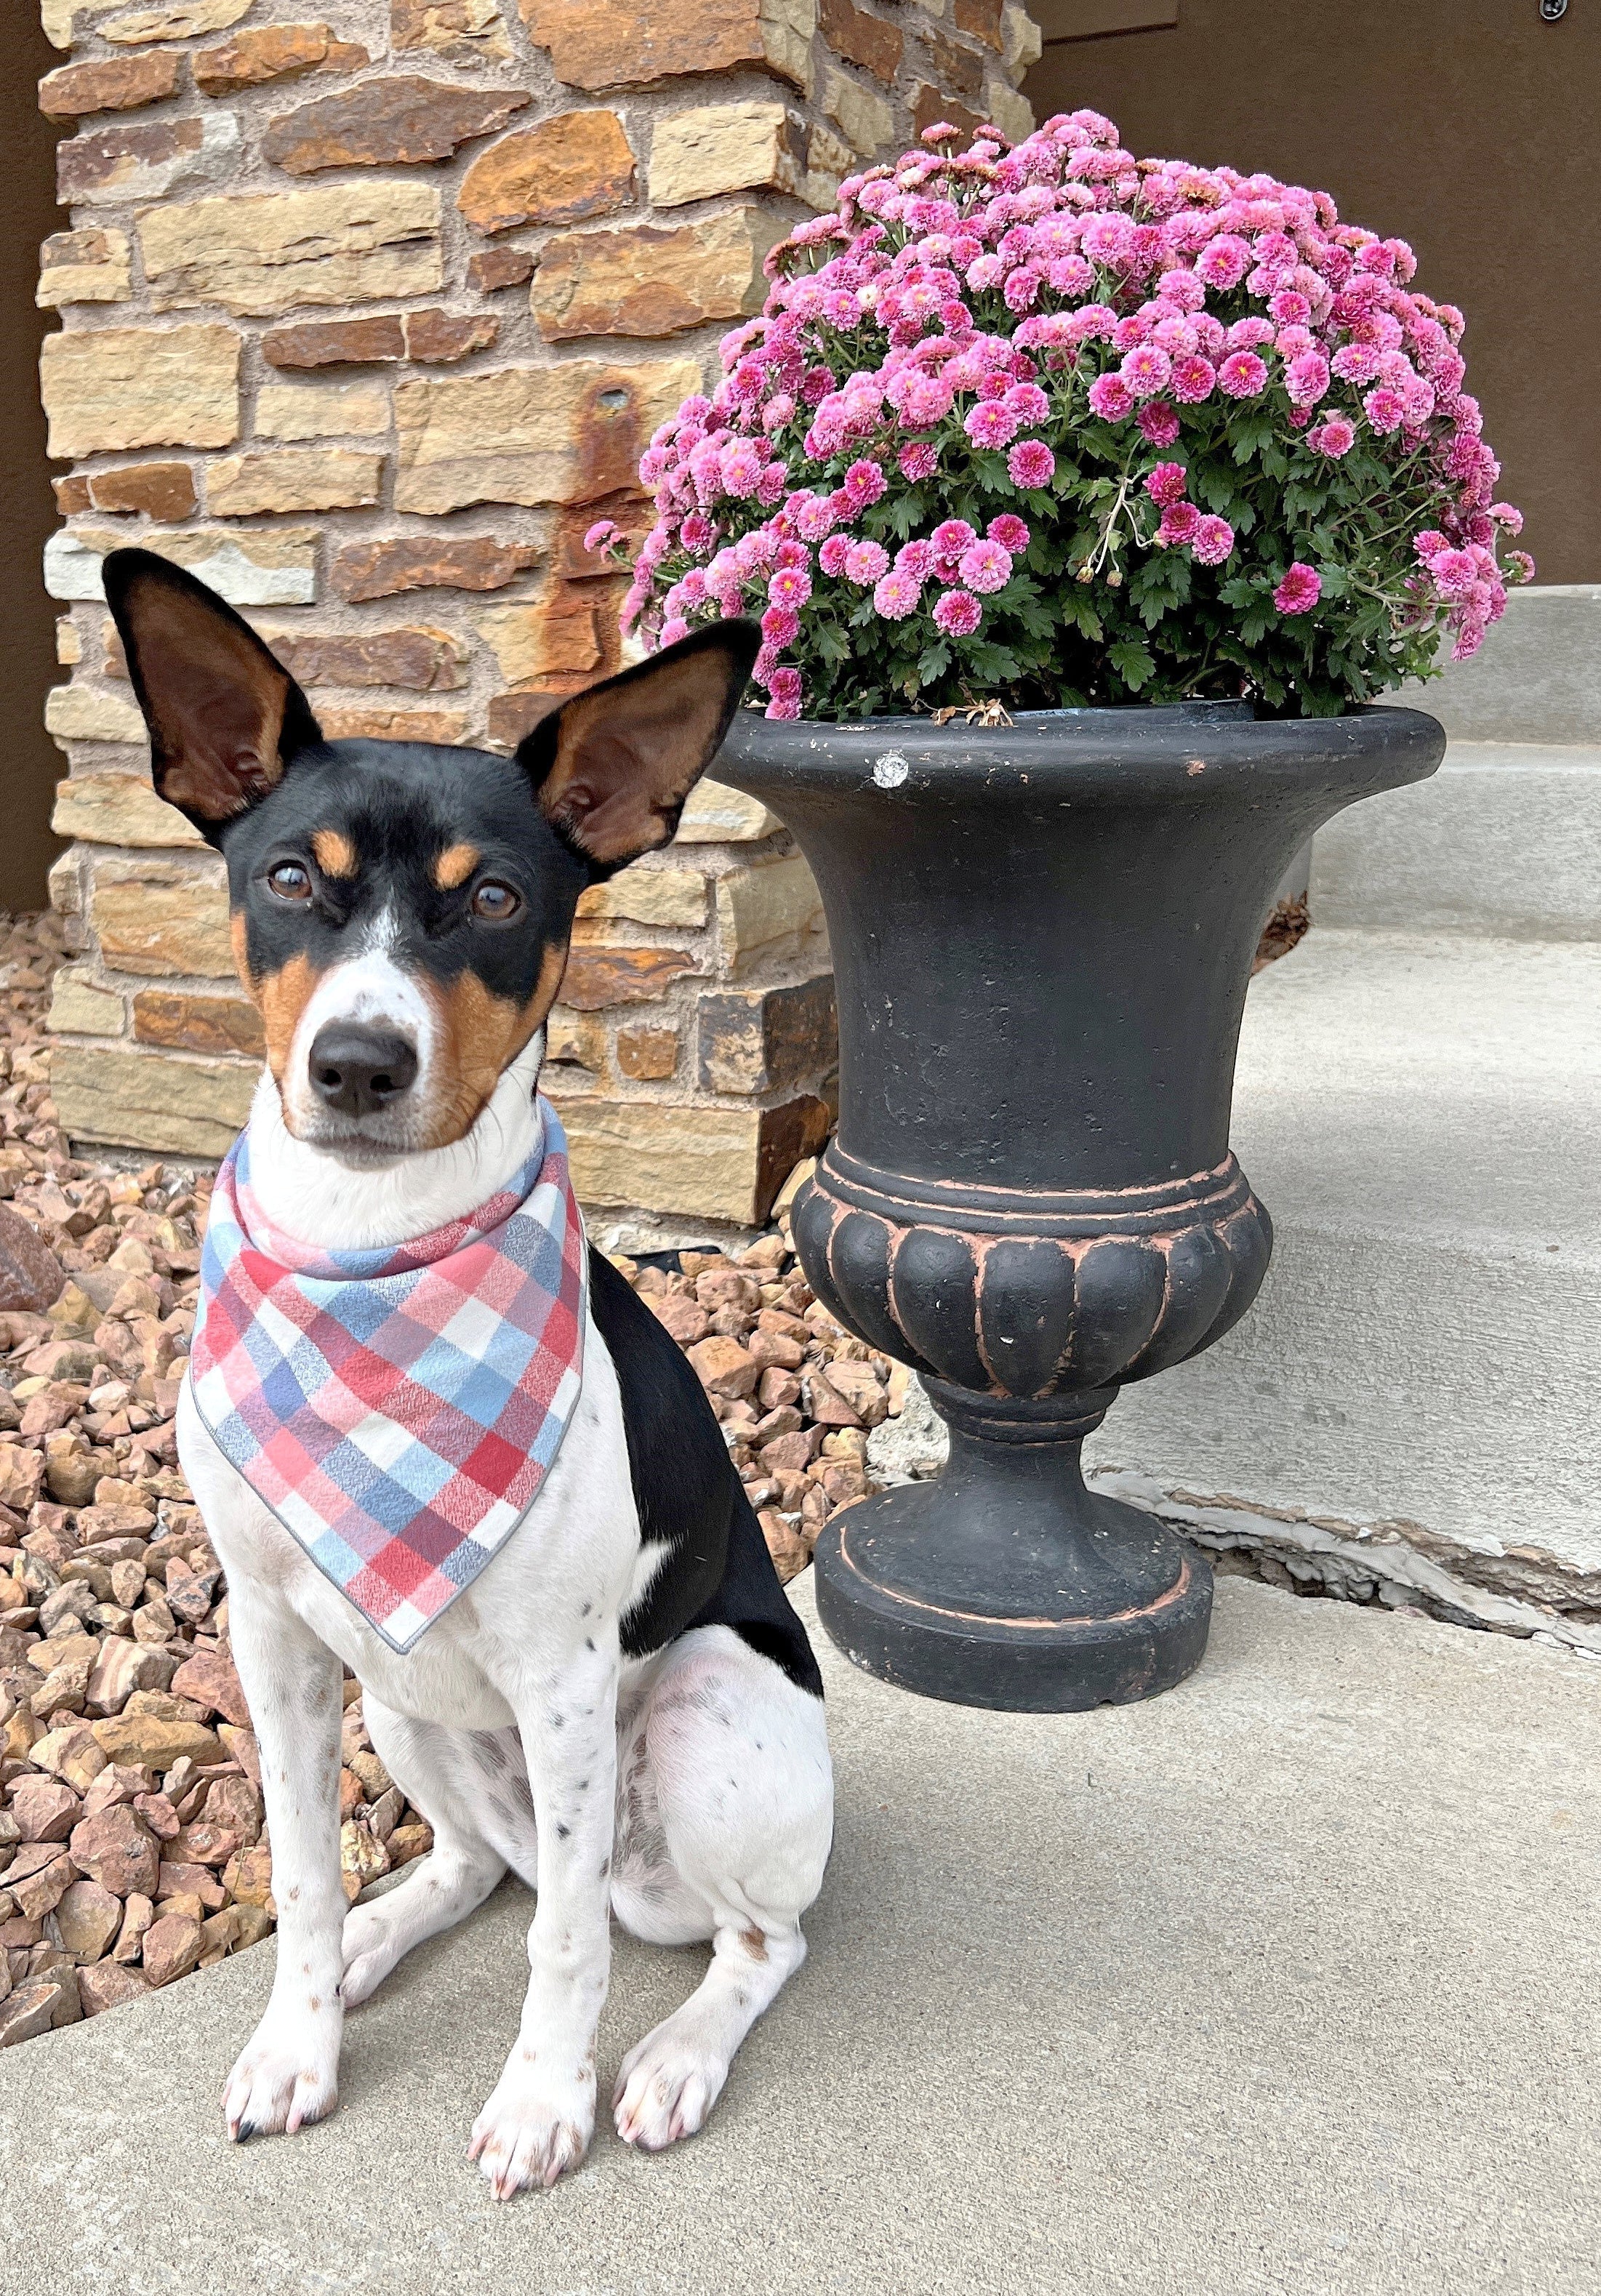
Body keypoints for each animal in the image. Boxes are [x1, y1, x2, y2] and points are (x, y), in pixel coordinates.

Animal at [108, 546, 835, 2195]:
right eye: (288, 878)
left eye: (496, 897)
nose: (357, 1063)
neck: (374, 1252)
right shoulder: (273, 1636)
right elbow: (303, 1876)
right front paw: (302, 2036)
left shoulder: (565, 1676)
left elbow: (564, 1947)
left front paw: (542, 2099)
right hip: (404, 1707)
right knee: (470, 1866)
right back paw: (385, 1940)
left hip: (703, 1708)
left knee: (749, 1937)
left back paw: (675, 2056)